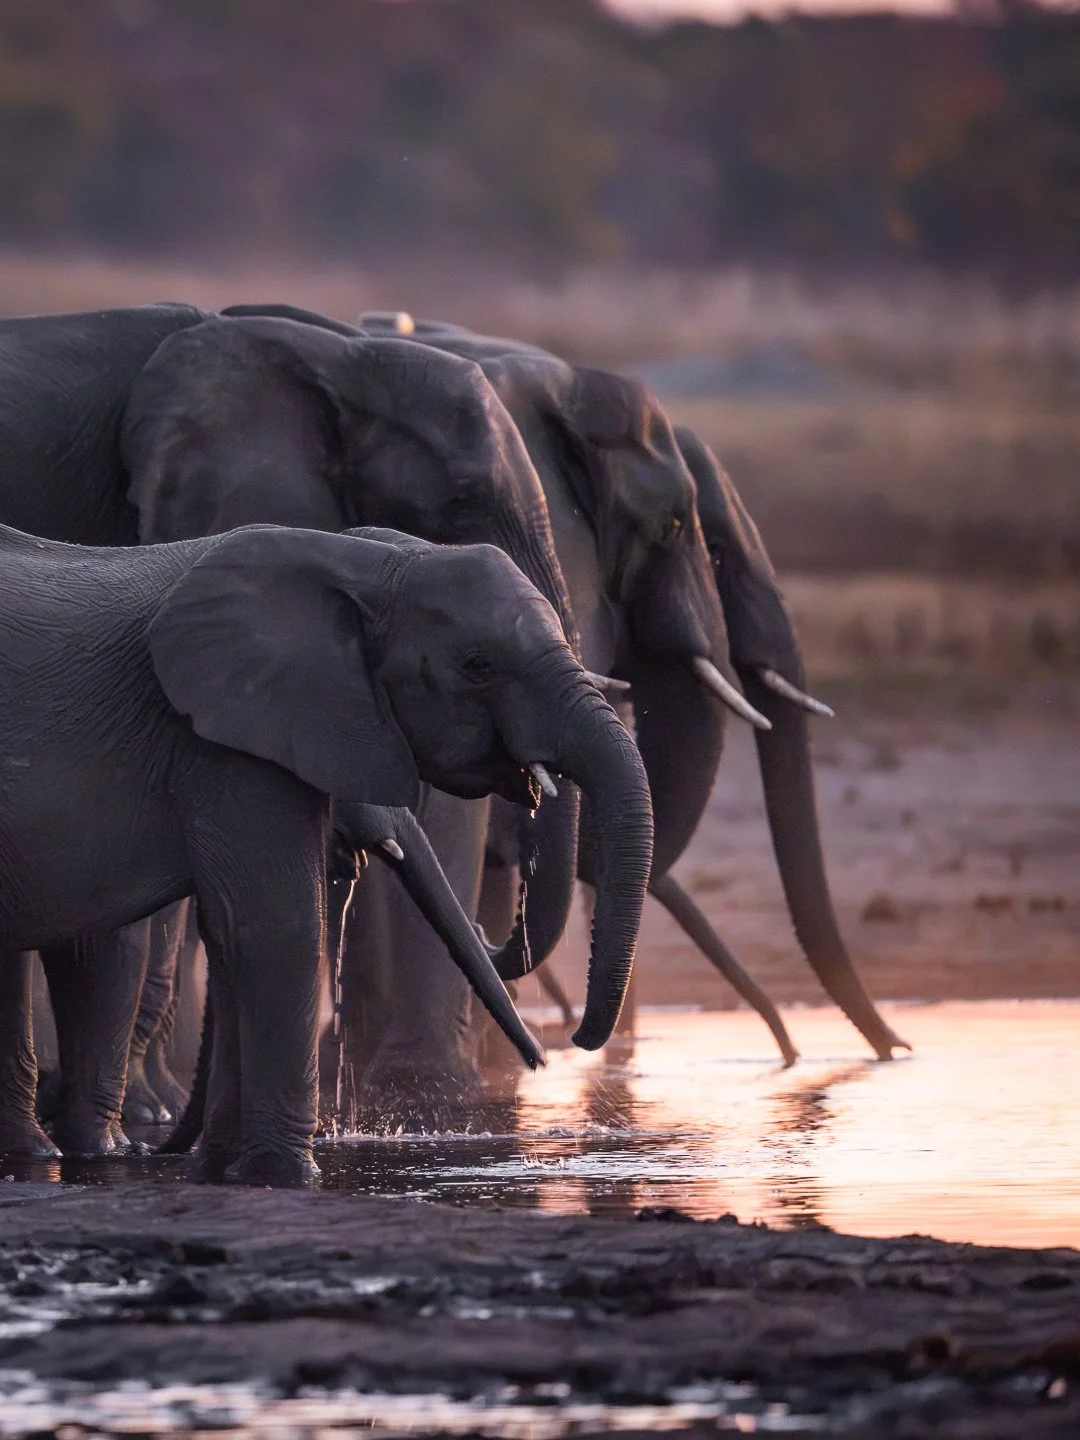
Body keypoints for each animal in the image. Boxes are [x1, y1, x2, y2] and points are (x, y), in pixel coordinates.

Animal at [0, 521, 652, 1183]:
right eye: (477, 665)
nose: (560, 1052)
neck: (355, 562)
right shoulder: (226, 736)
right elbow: (274, 922)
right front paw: (284, 1178)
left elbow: (233, 935)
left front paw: (226, 1173)